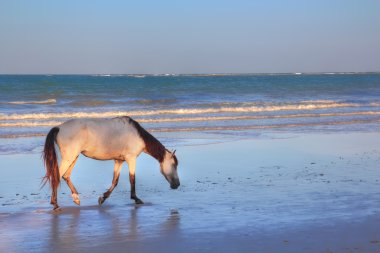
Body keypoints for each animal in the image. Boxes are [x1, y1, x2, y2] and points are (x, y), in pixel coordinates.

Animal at [42, 115, 179, 211]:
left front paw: (102, 198)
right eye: (174, 165)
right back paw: (55, 204)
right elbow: (132, 179)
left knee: (66, 176)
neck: (137, 135)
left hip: (73, 157)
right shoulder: (131, 159)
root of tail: (59, 127)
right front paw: (136, 199)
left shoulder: (119, 161)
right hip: (69, 158)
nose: (177, 184)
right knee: (57, 176)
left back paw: (76, 198)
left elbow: (115, 181)